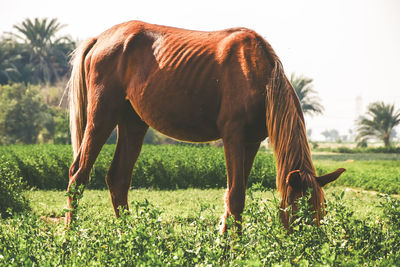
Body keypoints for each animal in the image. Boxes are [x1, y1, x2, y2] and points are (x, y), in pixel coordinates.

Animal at [65, 21, 344, 231]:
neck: (258, 75)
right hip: (102, 115)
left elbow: (231, 197)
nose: (310, 246)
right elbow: (236, 197)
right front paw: (233, 252)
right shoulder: (233, 138)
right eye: (300, 211)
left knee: (118, 179)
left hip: (133, 123)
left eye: (321, 210)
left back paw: (129, 238)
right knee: (78, 175)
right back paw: (70, 238)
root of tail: (99, 39)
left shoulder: (252, 142)